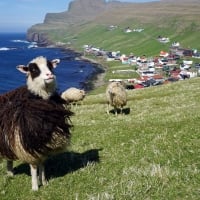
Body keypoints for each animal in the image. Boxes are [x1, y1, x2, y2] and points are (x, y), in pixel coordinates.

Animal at [0, 55, 73, 191]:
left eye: (50, 65)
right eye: (33, 69)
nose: (50, 74)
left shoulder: (44, 144)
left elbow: (42, 164)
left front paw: (44, 181)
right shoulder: (28, 146)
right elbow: (34, 167)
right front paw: (35, 187)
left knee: (9, 158)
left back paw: (10, 174)